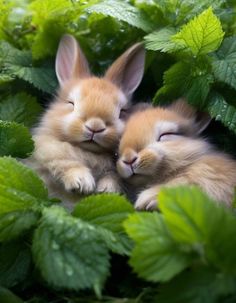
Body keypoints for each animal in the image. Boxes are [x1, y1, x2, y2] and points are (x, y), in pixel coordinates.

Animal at [26, 34, 145, 208]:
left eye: (122, 112)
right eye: (71, 103)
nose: (95, 126)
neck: (89, 151)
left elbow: (112, 176)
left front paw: (106, 191)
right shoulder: (50, 153)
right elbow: (67, 165)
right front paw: (82, 183)